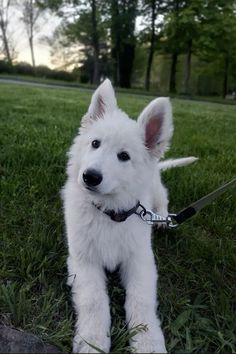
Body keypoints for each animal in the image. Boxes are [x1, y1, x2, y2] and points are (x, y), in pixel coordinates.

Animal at [61, 81, 195, 354]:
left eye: (124, 156)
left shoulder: (140, 260)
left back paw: (162, 220)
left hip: (156, 188)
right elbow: (94, 300)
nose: (90, 176)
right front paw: (92, 341)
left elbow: (141, 301)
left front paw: (148, 342)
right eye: (95, 143)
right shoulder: (83, 261)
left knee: (162, 201)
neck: (110, 213)